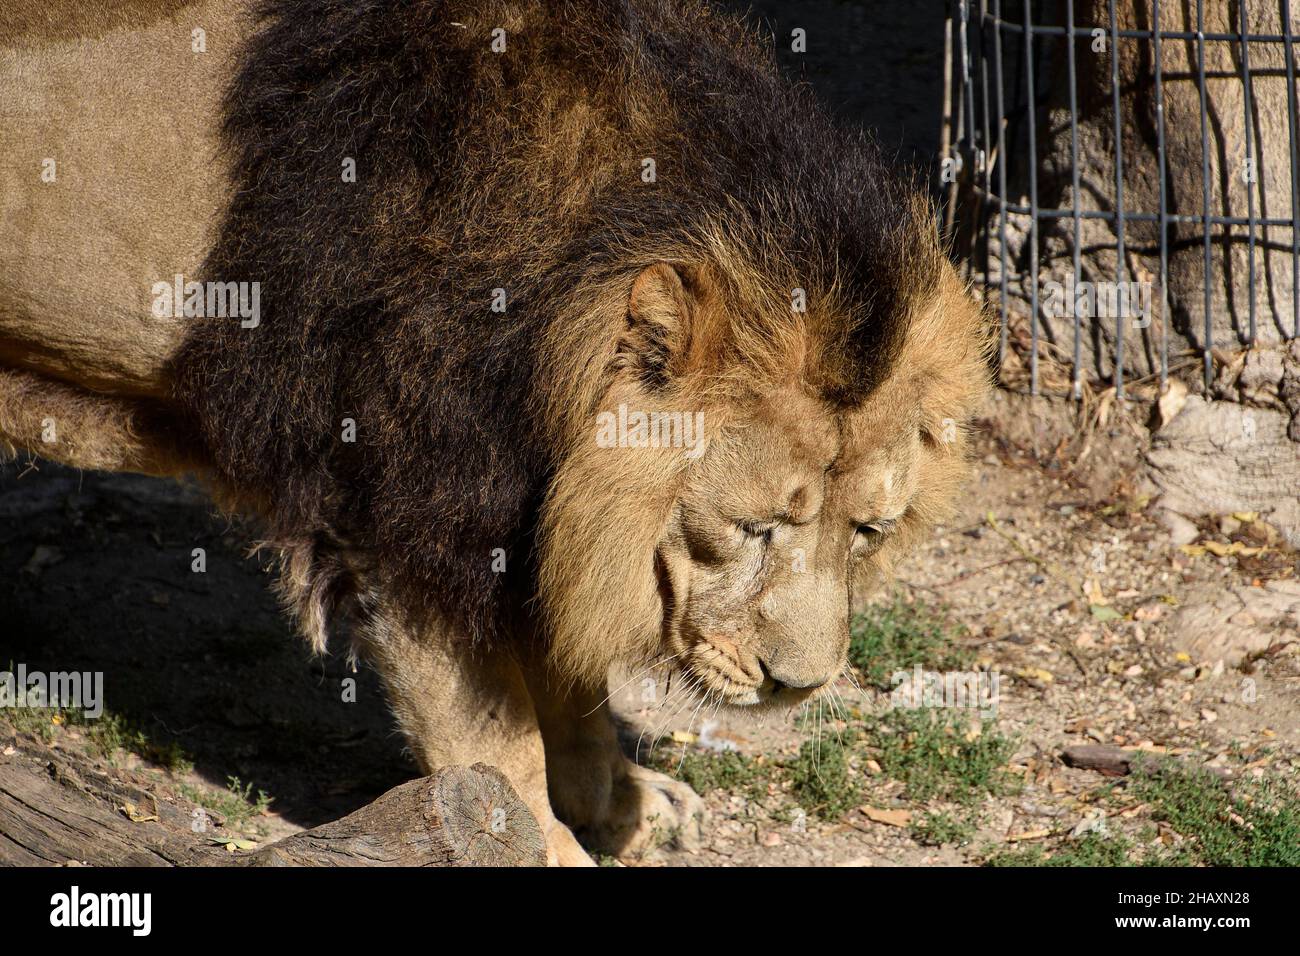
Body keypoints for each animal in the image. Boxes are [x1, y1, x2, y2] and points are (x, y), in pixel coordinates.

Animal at [2, 0, 982, 868]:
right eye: (752, 529)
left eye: (869, 530)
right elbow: (493, 742)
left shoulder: (532, 504)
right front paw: (544, 842)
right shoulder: (400, 518)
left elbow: (571, 676)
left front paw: (623, 800)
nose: (800, 687)